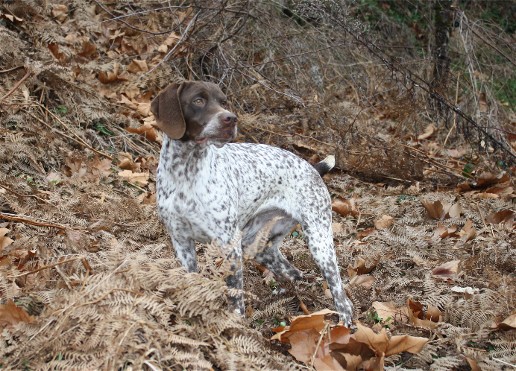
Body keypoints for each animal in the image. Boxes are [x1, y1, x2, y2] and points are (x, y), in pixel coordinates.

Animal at [151, 80, 352, 326]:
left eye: (223, 101)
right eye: (198, 100)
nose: (231, 119)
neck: (185, 172)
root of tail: (313, 168)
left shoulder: (229, 246)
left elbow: (234, 294)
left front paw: (235, 323)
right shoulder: (182, 243)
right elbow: (191, 281)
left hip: (319, 242)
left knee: (340, 293)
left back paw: (344, 323)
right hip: (258, 245)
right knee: (292, 271)